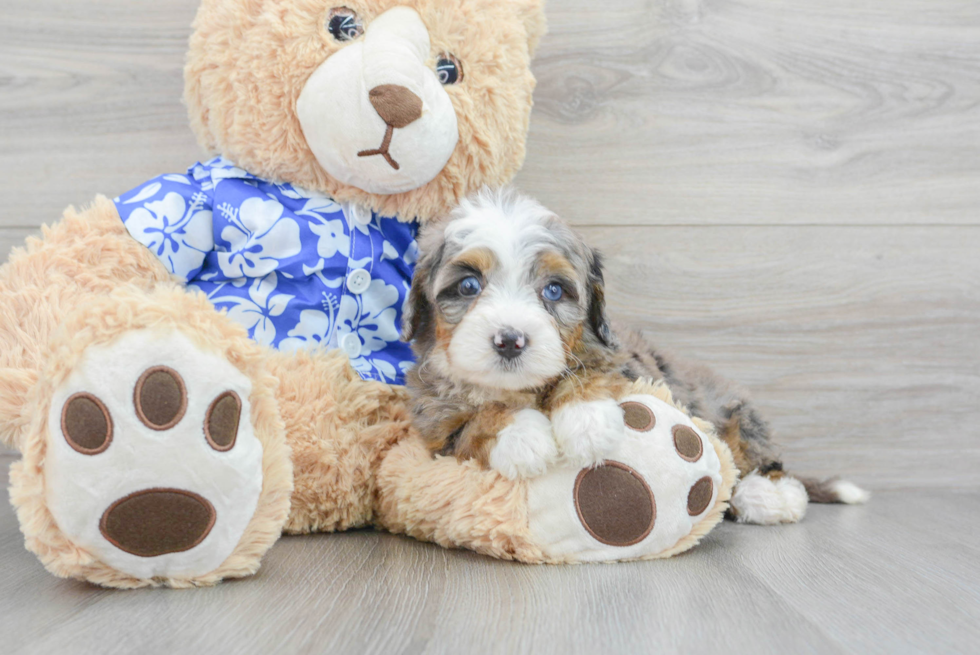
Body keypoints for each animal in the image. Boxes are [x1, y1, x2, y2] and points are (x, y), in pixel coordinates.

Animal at [402, 188, 868, 524]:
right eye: (468, 286)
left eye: (553, 290)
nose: (510, 340)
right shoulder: (433, 419)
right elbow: (472, 424)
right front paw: (521, 437)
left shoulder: (627, 358)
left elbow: (593, 369)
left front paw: (587, 421)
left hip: (733, 409)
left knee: (760, 456)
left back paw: (768, 494)